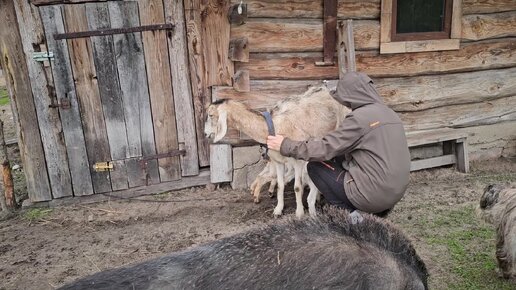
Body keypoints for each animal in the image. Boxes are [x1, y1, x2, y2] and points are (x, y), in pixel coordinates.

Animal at [206, 86, 350, 218]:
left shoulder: (298, 160)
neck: (274, 126)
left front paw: (299, 213)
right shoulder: (279, 161)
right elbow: (280, 185)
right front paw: (278, 210)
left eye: (211, 115)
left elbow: (297, 187)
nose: (206, 134)